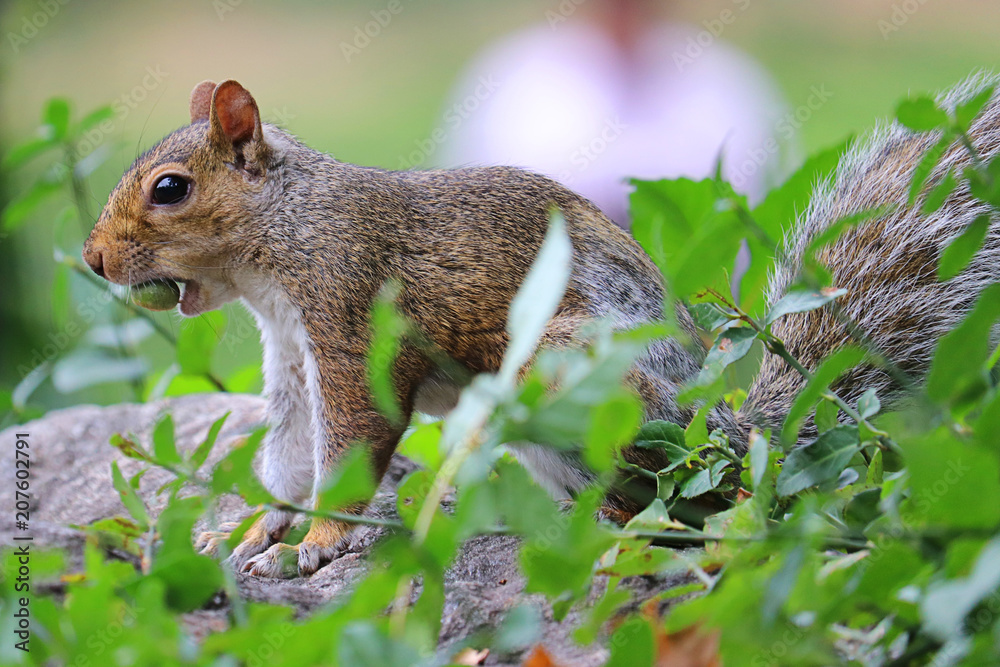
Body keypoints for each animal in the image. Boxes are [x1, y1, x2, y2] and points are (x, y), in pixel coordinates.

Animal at [82, 75, 999, 578]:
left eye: (170, 189)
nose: (91, 260)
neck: (283, 235)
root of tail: (728, 429)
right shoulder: (289, 358)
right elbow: (287, 453)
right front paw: (255, 525)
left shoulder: (351, 310)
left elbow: (352, 441)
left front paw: (317, 541)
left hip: (570, 371)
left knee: (684, 497)